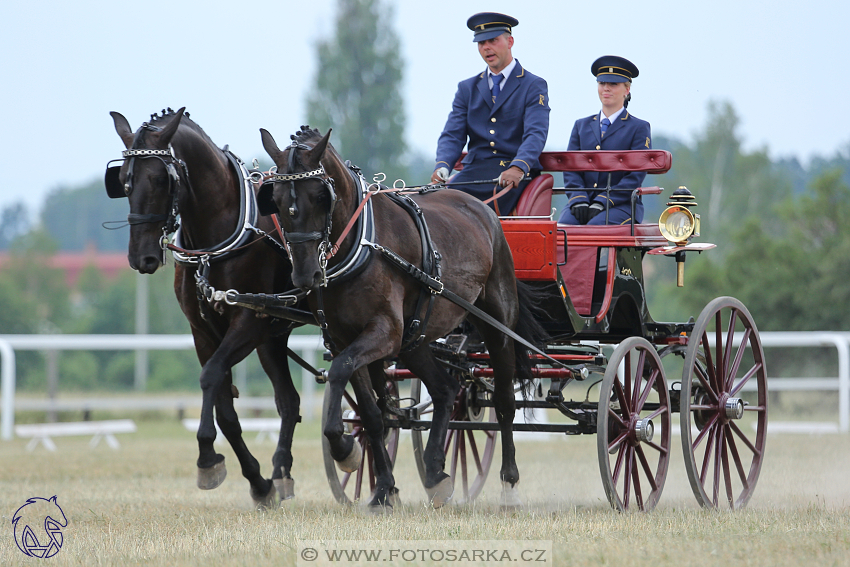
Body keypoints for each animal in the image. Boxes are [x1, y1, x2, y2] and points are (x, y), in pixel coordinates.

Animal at [107, 108, 302, 508]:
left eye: (159, 179)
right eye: (122, 181)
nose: (141, 257)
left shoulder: (249, 321)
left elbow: (211, 376)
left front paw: (207, 457)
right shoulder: (204, 331)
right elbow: (226, 410)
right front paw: (258, 482)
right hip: (273, 339)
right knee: (289, 402)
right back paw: (281, 471)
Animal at [256, 125, 544, 510]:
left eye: (320, 196)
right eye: (274, 198)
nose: (305, 276)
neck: (361, 243)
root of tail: (483, 209)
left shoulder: (385, 332)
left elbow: (340, 371)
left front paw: (344, 449)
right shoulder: (345, 338)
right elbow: (373, 413)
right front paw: (381, 487)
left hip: (496, 324)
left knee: (503, 401)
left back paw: (509, 484)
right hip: (416, 338)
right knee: (445, 389)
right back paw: (435, 471)